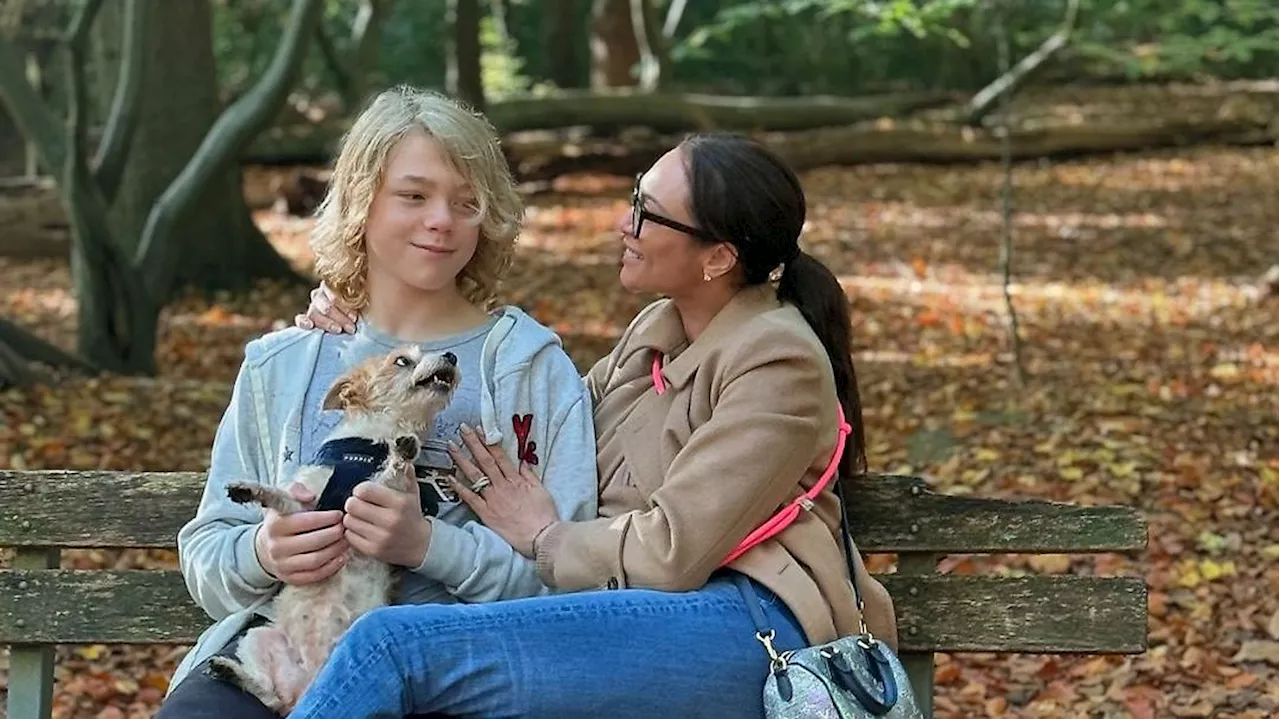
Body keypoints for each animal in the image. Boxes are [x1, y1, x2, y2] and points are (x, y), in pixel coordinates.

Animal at [209, 342, 465, 711]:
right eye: (402, 360)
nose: (451, 356)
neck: (374, 443)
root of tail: (307, 685)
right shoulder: (305, 508)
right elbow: (282, 499)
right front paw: (252, 490)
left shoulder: (386, 494)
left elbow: (391, 476)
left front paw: (400, 456)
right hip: (259, 637)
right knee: (270, 695)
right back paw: (232, 672)